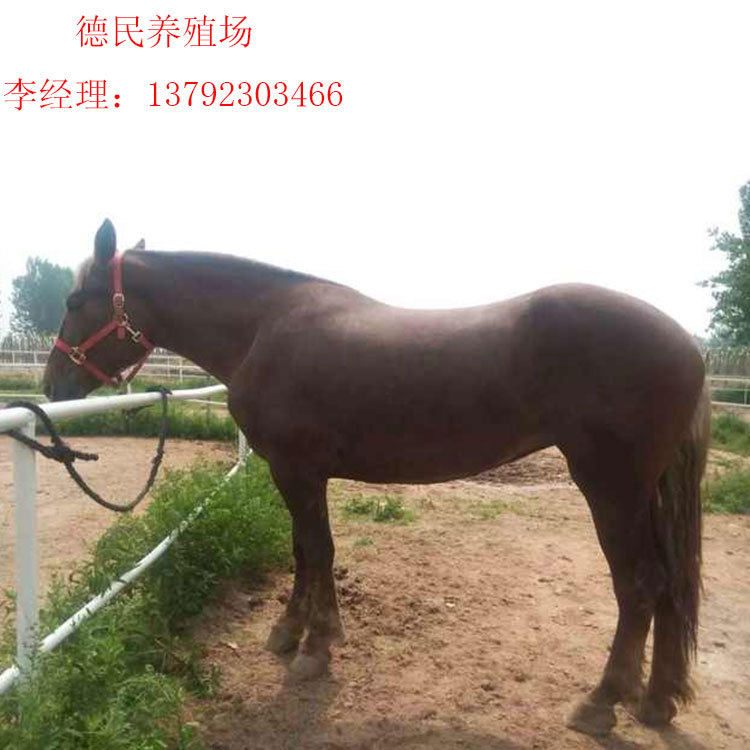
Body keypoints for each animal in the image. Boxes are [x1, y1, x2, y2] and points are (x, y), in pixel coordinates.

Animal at [43, 219, 709, 736]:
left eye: (75, 303)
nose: (53, 385)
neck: (263, 327)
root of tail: (688, 344)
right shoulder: (293, 472)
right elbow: (302, 551)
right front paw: (290, 633)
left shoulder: (297, 470)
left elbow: (317, 550)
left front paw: (315, 648)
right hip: (643, 493)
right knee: (670, 585)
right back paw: (656, 701)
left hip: (611, 488)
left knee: (639, 586)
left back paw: (602, 704)